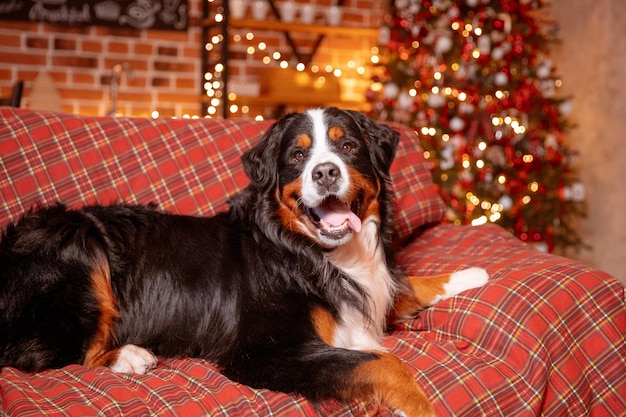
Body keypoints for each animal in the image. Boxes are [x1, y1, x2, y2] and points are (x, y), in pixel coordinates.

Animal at [0, 108, 488, 416]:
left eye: (348, 147)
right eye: (297, 156)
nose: (325, 172)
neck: (307, 252)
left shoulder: (371, 288)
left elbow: (404, 283)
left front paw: (473, 272)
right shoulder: (263, 352)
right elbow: (382, 363)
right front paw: (422, 407)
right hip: (79, 246)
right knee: (51, 354)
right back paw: (131, 356)